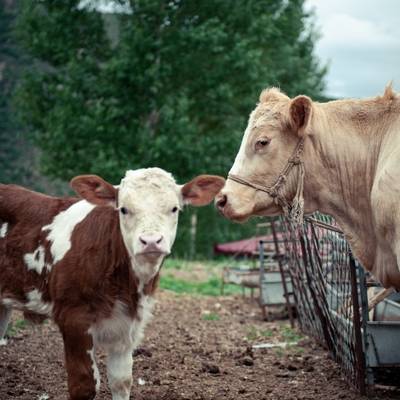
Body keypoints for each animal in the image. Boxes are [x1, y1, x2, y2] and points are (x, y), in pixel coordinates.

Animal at [0, 169, 225, 400]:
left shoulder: (127, 324)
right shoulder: (73, 318)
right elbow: (83, 386)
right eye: (123, 209)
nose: (151, 241)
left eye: (174, 208)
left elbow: (121, 381)